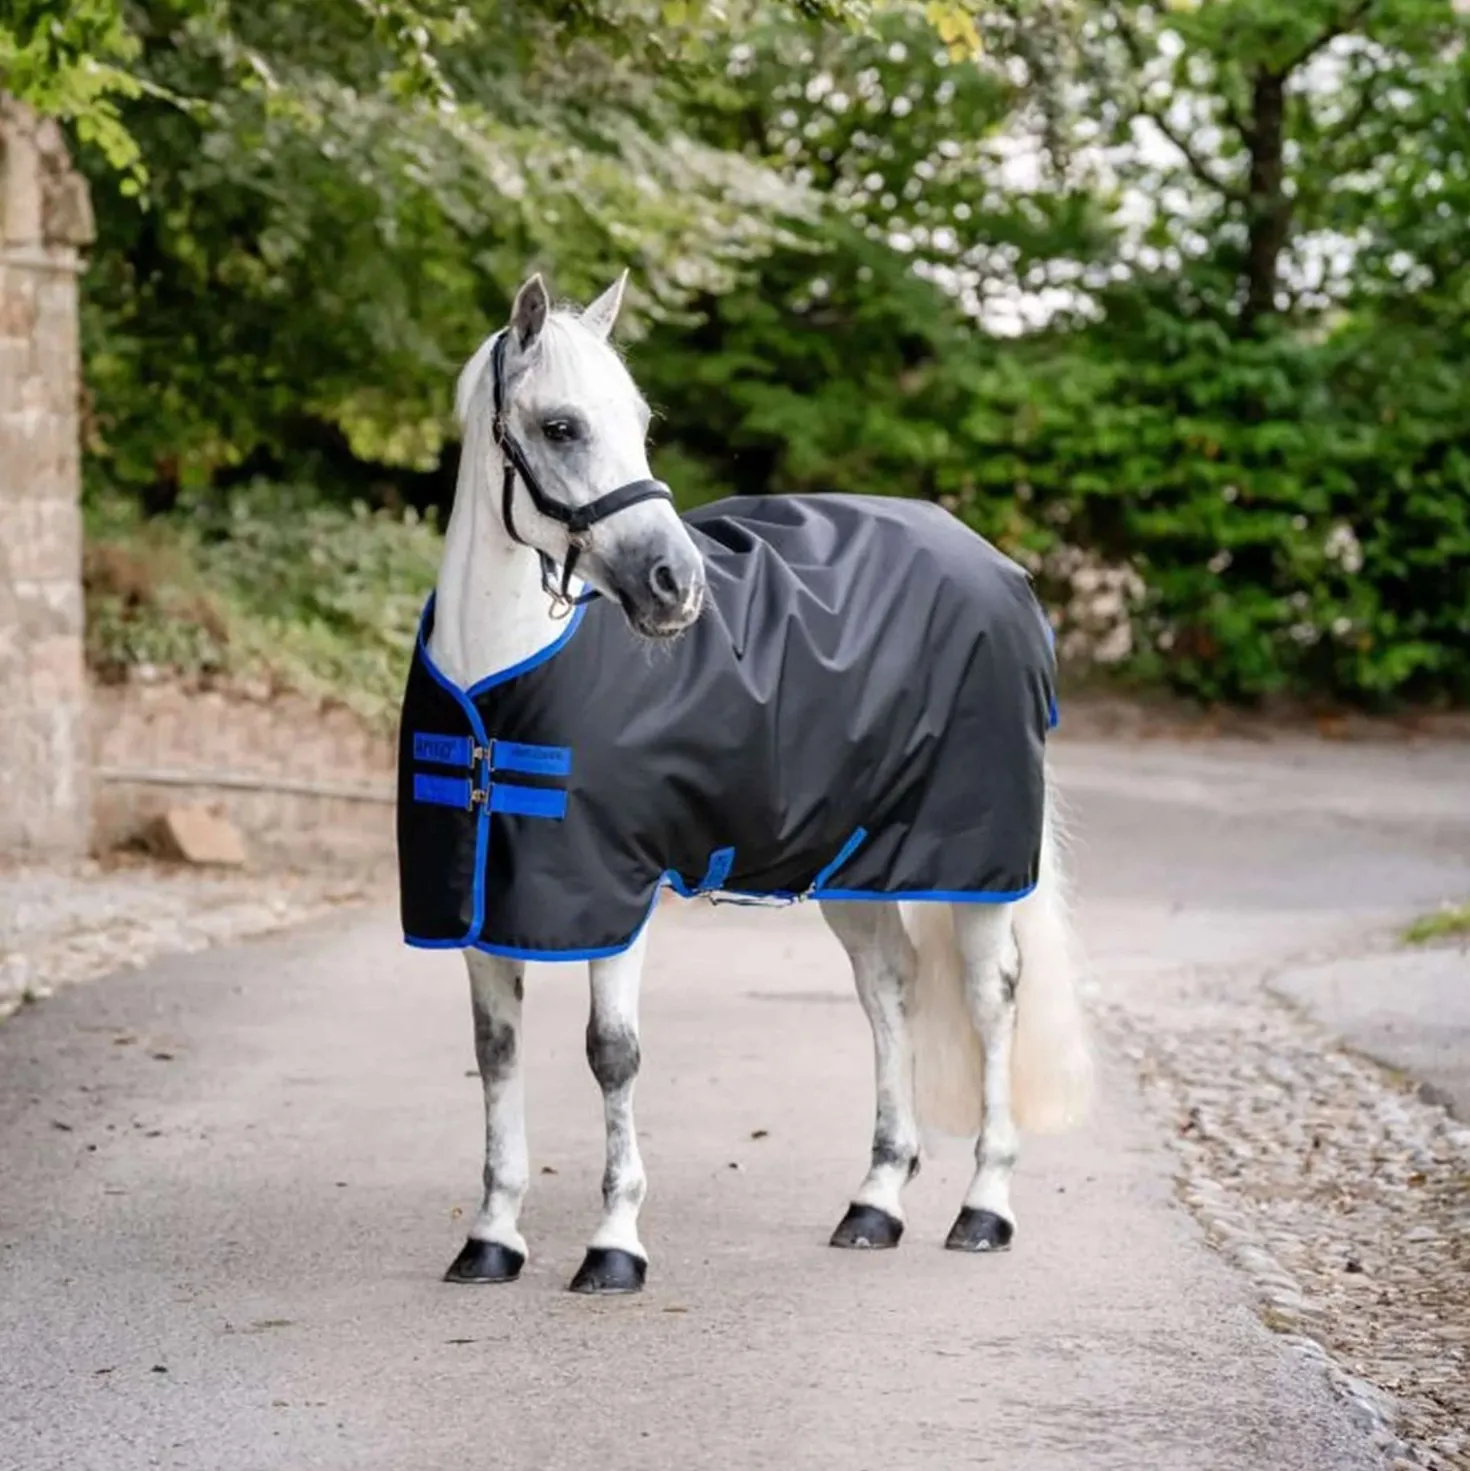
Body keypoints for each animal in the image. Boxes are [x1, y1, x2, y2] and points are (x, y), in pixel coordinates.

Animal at [401, 270, 1093, 1295]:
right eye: (562, 426)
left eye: (641, 421)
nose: (675, 585)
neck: (498, 685)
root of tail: (1001, 569)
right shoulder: (485, 902)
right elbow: (497, 1055)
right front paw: (492, 1235)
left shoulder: (618, 894)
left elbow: (612, 1054)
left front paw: (615, 1243)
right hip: (855, 864)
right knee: (889, 989)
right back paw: (875, 1201)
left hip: (976, 863)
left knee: (989, 996)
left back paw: (984, 1207)